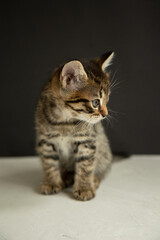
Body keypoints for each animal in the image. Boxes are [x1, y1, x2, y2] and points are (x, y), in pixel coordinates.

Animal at [35, 51, 114, 201]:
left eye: (107, 100)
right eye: (95, 102)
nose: (105, 114)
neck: (64, 121)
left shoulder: (87, 141)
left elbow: (85, 166)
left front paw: (84, 188)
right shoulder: (46, 140)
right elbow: (49, 162)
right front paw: (51, 183)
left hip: (104, 151)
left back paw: (94, 179)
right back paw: (66, 177)